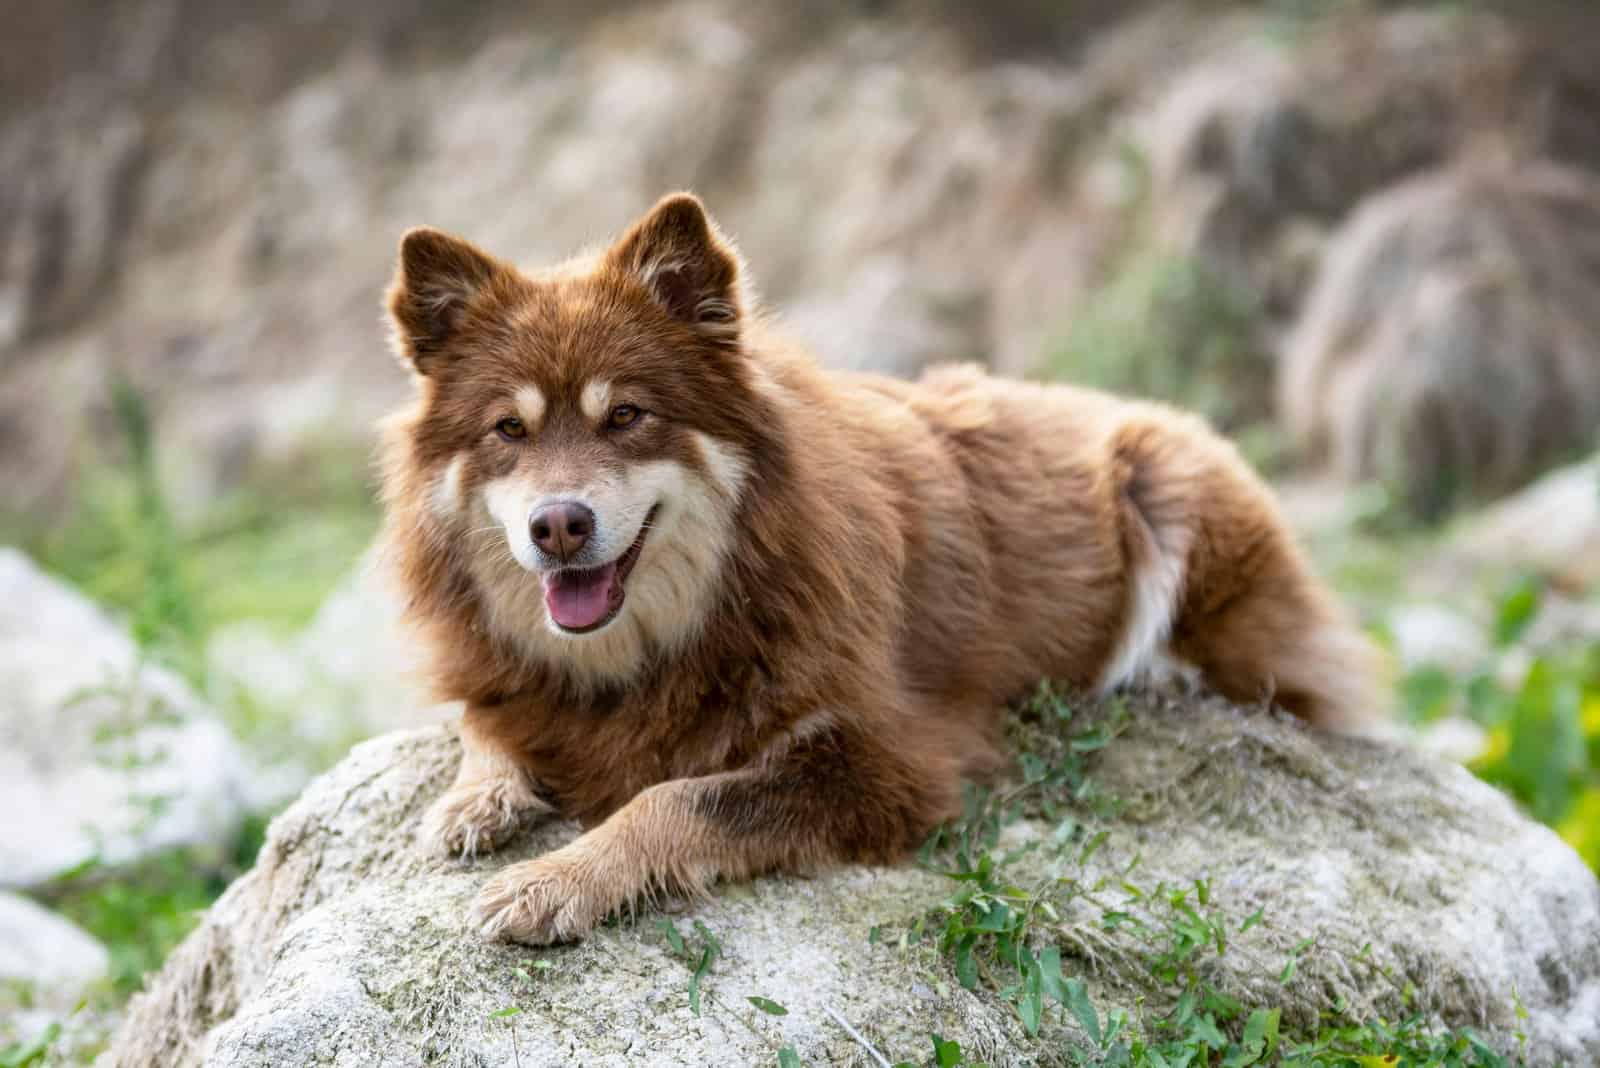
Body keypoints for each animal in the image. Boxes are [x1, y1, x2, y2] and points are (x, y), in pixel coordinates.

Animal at [374, 191, 1376, 940]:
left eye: (626, 416)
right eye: (509, 430)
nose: (558, 527)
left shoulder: (887, 764)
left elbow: (679, 798)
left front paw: (556, 879)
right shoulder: (507, 680)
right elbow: (486, 723)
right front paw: (476, 801)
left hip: (1167, 483)